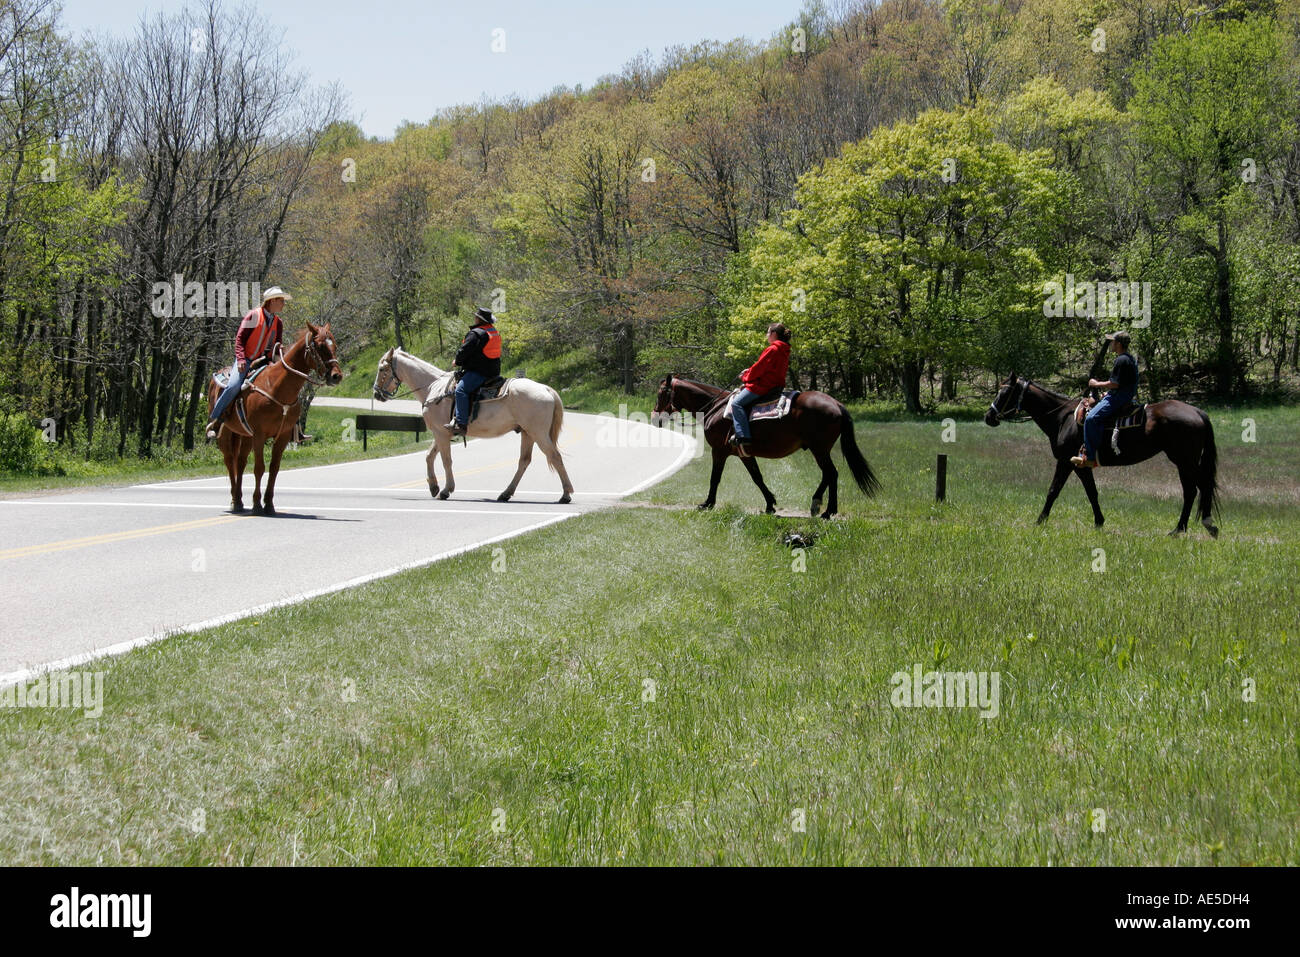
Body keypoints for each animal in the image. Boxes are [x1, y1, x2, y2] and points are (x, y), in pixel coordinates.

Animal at [205, 323, 343, 514]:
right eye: (321, 346)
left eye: (334, 345)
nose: (337, 376)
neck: (277, 387)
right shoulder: (259, 435)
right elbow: (259, 468)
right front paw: (257, 504)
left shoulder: (283, 436)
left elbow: (274, 468)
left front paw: (269, 504)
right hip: (226, 435)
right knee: (229, 461)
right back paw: (234, 501)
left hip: (244, 435)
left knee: (239, 462)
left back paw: (239, 500)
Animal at [366, 348, 569, 504]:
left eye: (382, 368)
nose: (376, 394)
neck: (433, 387)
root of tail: (546, 389)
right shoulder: (441, 432)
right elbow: (429, 456)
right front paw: (433, 486)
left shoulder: (440, 433)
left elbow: (445, 460)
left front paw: (446, 490)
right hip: (527, 433)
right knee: (524, 461)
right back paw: (505, 493)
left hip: (538, 433)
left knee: (555, 456)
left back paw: (566, 494)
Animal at [650, 374, 883, 520]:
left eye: (661, 393)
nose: (655, 418)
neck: (715, 408)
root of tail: (837, 404)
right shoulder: (744, 453)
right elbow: (757, 477)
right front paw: (770, 504)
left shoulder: (719, 451)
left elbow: (715, 478)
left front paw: (707, 503)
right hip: (820, 449)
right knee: (829, 474)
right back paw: (821, 506)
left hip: (819, 449)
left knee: (831, 473)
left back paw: (825, 509)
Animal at [982, 374, 1216, 538]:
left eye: (1004, 393)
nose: (989, 416)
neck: (1063, 418)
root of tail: (1198, 412)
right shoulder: (1080, 464)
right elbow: (1092, 493)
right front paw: (1099, 522)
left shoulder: (1066, 462)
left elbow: (1053, 491)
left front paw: (1039, 521)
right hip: (1185, 462)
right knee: (1194, 490)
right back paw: (1185, 528)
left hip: (1184, 461)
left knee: (1195, 489)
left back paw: (1189, 528)